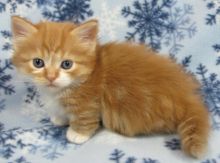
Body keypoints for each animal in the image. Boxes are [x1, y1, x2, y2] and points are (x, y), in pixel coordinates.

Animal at [11, 16, 210, 158]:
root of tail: (185, 95)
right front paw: (60, 118)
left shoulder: (90, 102)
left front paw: (77, 133)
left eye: (67, 64)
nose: (51, 77)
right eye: (38, 63)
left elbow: (85, 118)